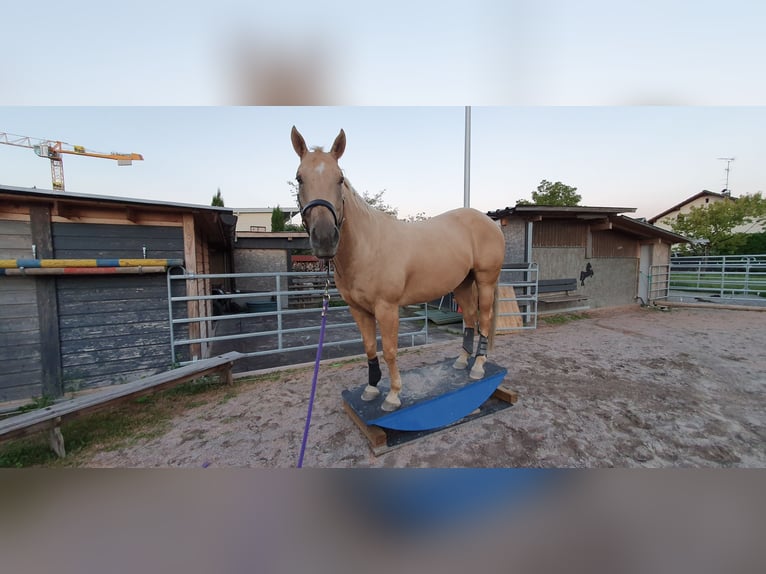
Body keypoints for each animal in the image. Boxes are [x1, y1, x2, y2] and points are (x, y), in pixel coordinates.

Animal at [292, 127, 508, 412]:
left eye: (339, 179)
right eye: (299, 178)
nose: (325, 238)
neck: (367, 246)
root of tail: (489, 221)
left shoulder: (387, 308)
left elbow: (390, 351)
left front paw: (393, 395)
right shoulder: (358, 309)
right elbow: (369, 347)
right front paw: (371, 388)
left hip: (485, 281)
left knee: (483, 318)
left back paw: (478, 367)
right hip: (462, 284)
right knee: (470, 318)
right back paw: (462, 361)